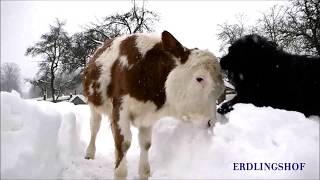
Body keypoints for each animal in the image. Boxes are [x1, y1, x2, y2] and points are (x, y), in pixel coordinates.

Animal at [81, 30, 224, 179]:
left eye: (221, 86)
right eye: (199, 78)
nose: (211, 122)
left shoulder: (147, 115)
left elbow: (145, 143)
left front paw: (144, 173)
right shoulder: (121, 107)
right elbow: (124, 143)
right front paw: (119, 172)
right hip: (94, 105)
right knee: (95, 127)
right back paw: (90, 153)